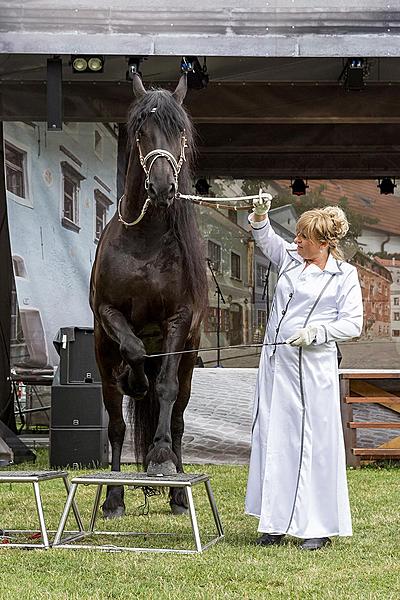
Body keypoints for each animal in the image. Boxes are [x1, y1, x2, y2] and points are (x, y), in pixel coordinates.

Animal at [90, 74, 208, 516]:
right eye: (141, 131)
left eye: (181, 133)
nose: (162, 187)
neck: (146, 241)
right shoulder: (108, 314)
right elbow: (135, 351)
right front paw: (135, 381)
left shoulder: (179, 319)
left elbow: (166, 389)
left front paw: (159, 460)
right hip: (103, 356)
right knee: (116, 423)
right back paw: (114, 496)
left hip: (189, 357)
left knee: (177, 417)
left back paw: (177, 493)